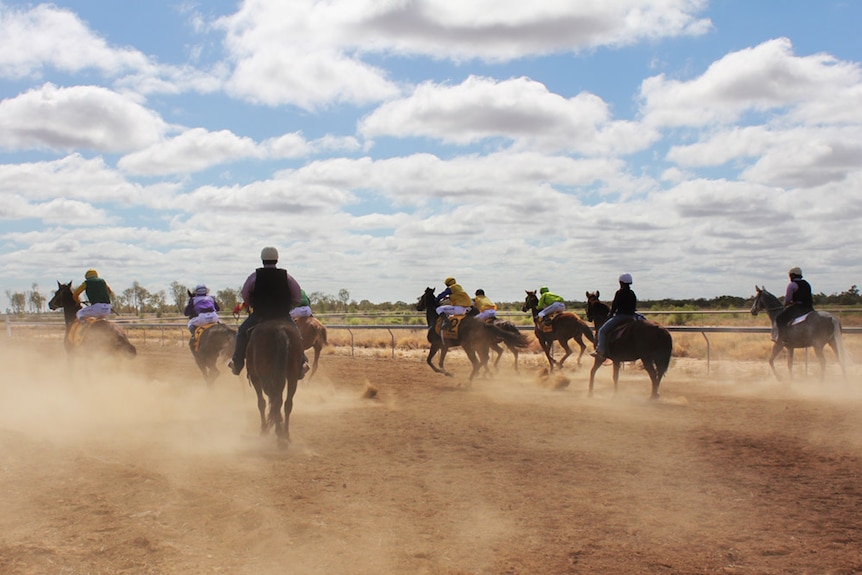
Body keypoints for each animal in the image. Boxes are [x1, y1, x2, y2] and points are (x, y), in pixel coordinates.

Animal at [245, 318, 306, 448]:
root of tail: (280, 330)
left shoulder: (255, 378)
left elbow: (261, 403)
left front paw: (264, 429)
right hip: (292, 375)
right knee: (286, 403)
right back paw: (285, 434)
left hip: (264, 376)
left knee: (275, 400)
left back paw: (279, 435)